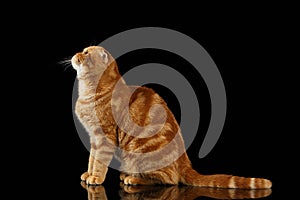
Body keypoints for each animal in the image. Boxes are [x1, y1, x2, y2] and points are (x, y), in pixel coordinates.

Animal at [71, 45, 272, 189]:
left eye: (86, 53)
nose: (75, 54)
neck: (88, 91)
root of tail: (185, 162)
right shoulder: (94, 138)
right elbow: (92, 159)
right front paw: (88, 174)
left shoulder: (104, 136)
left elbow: (99, 161)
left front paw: (96, 177)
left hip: (141, 153)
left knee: (168, 180)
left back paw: (133, 179)